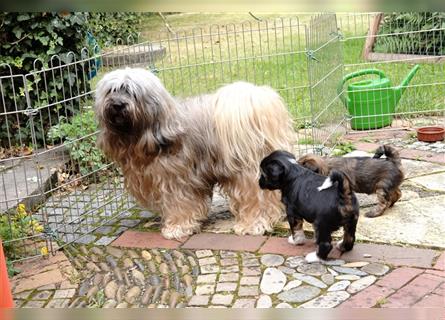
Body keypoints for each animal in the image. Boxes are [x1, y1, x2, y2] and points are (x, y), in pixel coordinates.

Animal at [95, 69, 294, 241]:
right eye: (111, 91)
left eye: (131, 92)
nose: (117, 105)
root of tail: (257, 103)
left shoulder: (176, 181)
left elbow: (179, 205)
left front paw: (176, 228)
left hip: (246, 169)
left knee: (256, 197)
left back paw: (251, 225)